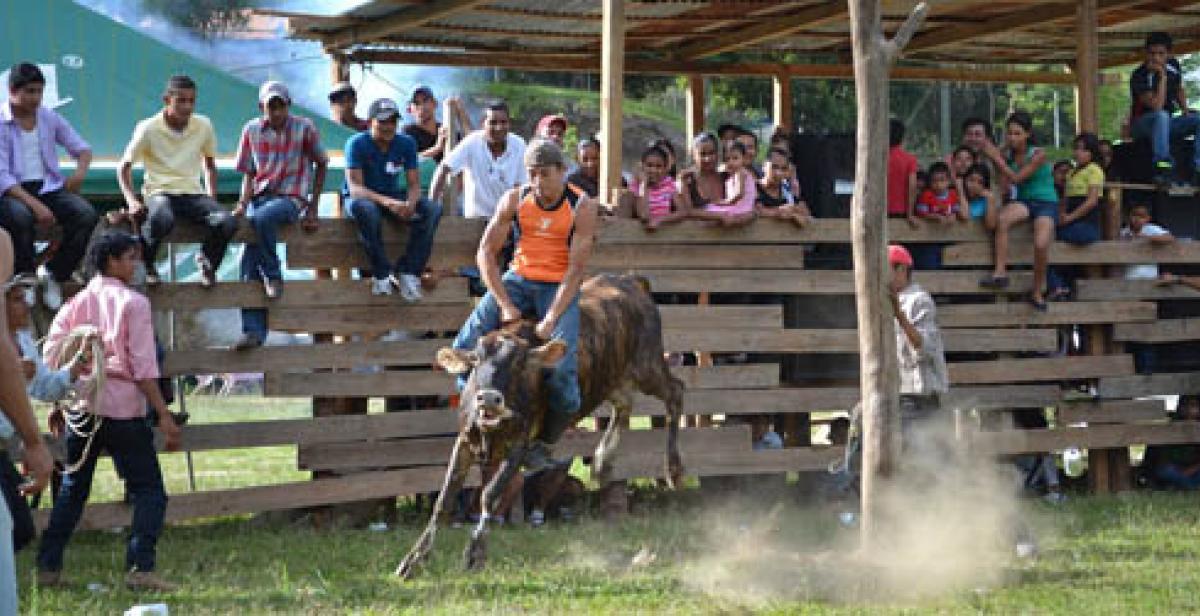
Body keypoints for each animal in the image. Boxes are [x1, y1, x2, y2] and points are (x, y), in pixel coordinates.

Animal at [398, 273, 686, 576]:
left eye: (519, 363)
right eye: (475, 361)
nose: (488, 398)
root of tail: (629, 280)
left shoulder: (518, 447)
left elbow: (490, 496)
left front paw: (475, 554)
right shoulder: (464, 441)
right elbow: (444, 501)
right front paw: (414, 559)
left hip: (647, 366)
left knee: (675, 392)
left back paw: (673, 470)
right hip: (612, 378)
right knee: (624, 405)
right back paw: (602, 462)